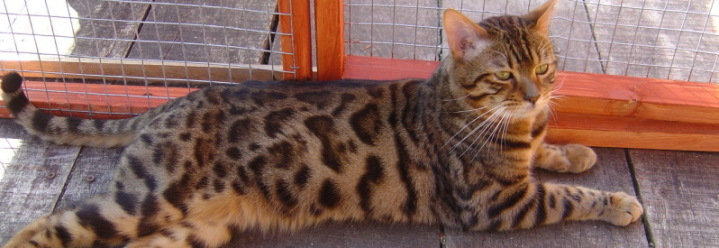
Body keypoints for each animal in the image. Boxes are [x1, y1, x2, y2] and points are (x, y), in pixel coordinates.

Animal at [0, 0, 640, 247]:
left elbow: (548, 154)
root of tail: (176, 101)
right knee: (41, 228)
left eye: (545, 68)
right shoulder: (494, 203)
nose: (535, 95)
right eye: (505, 75)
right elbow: (566, 196)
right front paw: (617, 202)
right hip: (149, 199)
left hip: (195, 228)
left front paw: (573, 150)